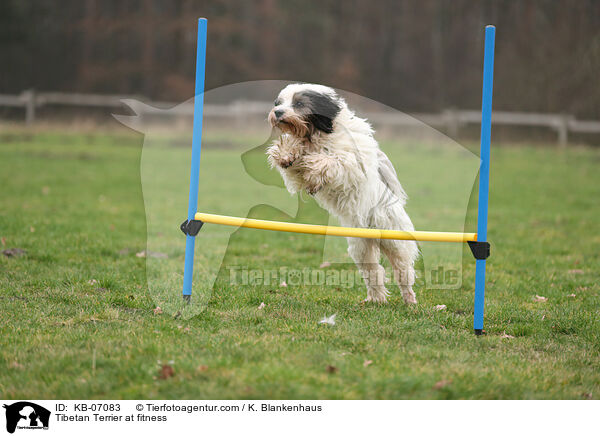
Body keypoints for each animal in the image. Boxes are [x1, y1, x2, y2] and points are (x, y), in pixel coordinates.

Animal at [268, 84, 418, 304]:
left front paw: (315, 165)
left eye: (299, 103)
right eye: (278, 103)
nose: (277, 112)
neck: (316, 134)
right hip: (361, 246)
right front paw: (286, 153)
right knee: (374, 272)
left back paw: (409, 300)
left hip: (394, 239)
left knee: (403, 271)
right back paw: (376, 299)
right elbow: (295, 161)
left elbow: (333, 161)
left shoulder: (350, 162)